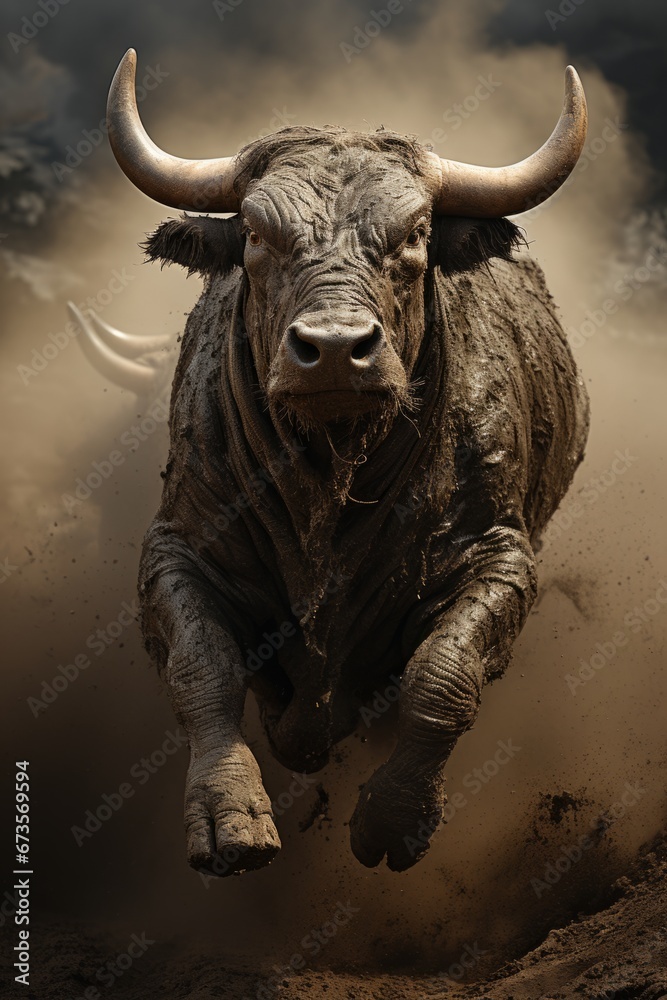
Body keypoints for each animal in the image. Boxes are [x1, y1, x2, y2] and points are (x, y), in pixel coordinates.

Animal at [103, 48, 589, 876]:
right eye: (255, 233)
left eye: (415, 233)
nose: (333, 349)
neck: (326, 490)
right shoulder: (176, 549)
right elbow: (203, 666)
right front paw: (230, 819)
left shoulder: (500, 555)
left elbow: (442, 676)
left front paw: (393, 821)